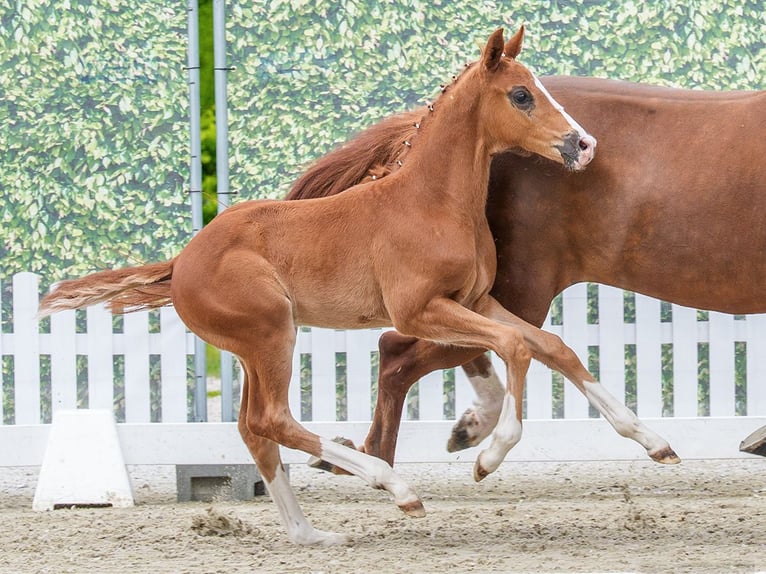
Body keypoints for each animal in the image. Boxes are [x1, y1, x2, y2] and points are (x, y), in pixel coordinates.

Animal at [38, 28, 616, 545]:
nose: (584, 144)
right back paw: (396, 488)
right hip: (273, 333)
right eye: (521, 94)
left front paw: (634, 433)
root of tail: (182, 262)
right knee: (272, 419)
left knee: (253, 430)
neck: (432, 202)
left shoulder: (475, 301)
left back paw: (309, 534)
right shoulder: (418, 311)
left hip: (253, 349)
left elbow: (548, 345)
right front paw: (486, 457)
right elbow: (516, 347)